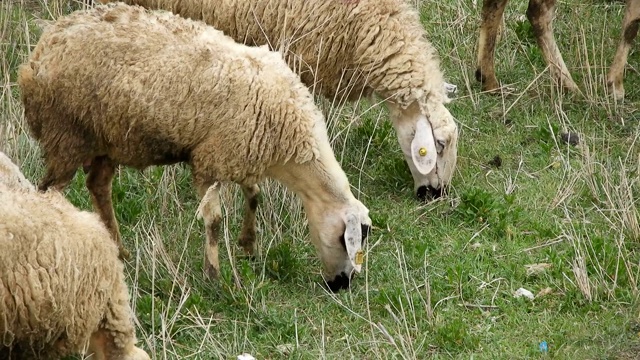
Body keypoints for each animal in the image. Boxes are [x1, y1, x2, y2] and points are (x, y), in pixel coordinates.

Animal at [17, 3, 372, 292]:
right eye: (351, 240)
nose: (342, 285)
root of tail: (43, 47)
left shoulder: (239, 153)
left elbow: (254, 194)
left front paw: (248, 245)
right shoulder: (210, 161)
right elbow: (214, 220)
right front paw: (213, 275)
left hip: (107, 138)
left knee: (98, 186)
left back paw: (120, 250)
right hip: (66, 133)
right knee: (50, 193)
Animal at [478, 0, 636, 100]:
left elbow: (630, 25)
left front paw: (613, 86)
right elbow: (632, 25)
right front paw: (615, 87)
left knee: (492, 6)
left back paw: (488, 81)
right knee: (538, 11)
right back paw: (571, 87)